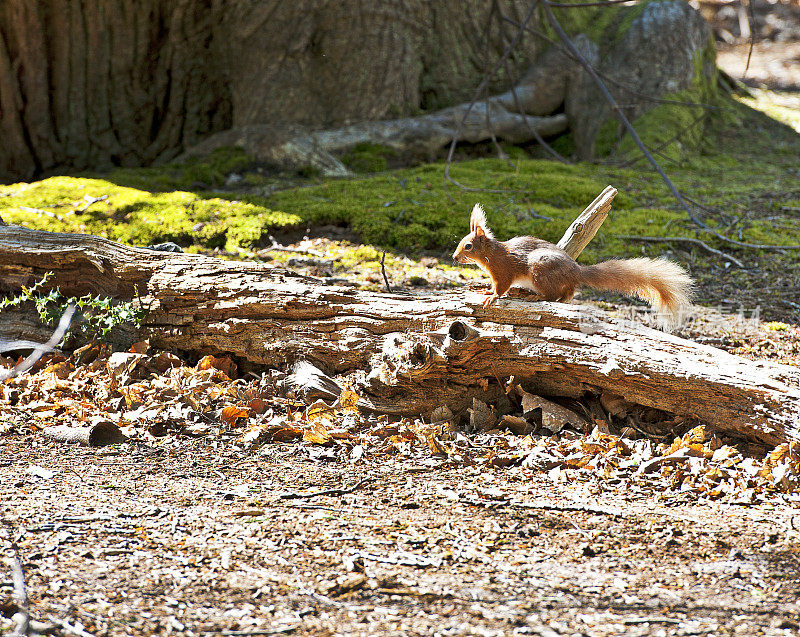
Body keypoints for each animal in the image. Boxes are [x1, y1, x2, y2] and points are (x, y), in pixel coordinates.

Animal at [454, 205, 692, 318]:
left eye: (468, 246)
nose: (454, 257)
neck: (491, 254)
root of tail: (576, 271)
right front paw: (485, 290)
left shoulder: (503, 271)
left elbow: (501, 287)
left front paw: (491, 296)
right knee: (567, 293)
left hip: (540, 270)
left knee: (554, 295)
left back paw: (535, 297)